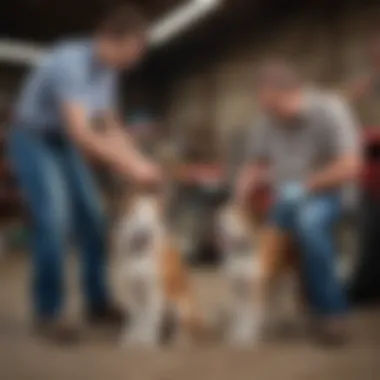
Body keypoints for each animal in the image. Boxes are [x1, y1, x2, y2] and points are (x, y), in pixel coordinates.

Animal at [115, 188, 205, 348]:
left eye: (153, 216)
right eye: (134, 213)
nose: (145, 231)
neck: (139, 254)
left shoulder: (153, 291)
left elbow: (149, 317)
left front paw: (146, 340)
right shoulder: (131, 290)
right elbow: (135, 317)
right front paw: (131, 337)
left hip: (182, 306)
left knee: (186, 329)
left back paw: (180, 340)